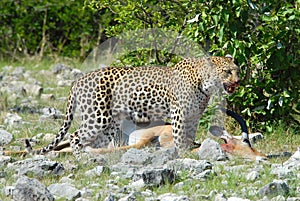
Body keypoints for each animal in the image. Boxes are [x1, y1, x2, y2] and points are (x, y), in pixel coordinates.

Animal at [28, 55, 239, 155]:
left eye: (237, 70)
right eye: (228, 72)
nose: (238, 81)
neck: (205, 83)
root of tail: (77, 81)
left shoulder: (194, 115)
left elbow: (189, 135)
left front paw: (189, 151)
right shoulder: (179, 113)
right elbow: (180, 136)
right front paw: (182, 153)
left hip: (111, 123)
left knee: (98, 142)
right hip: (97, 116)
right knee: (75, 136)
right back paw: (81, 157)